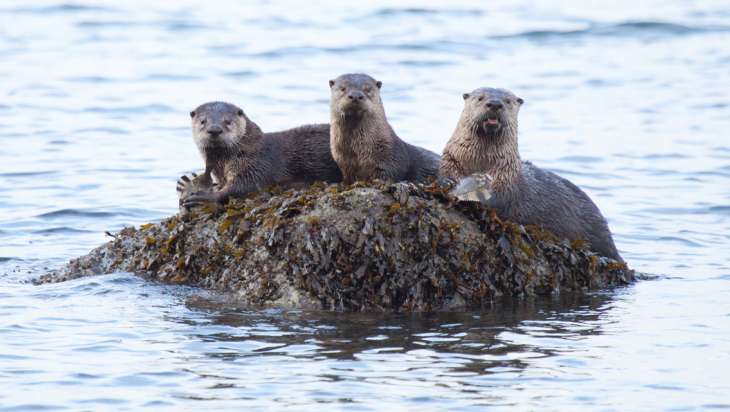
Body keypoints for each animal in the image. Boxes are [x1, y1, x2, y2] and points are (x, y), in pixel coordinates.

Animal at [179, 101, 342, 207]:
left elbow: (244, 185)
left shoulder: (255, 163)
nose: (214, 129)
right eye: (203, 121)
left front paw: (205, 197)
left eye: (228, 121)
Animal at [440, 88, 622, 261]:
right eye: (480, 98)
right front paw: (448, 185)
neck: (481, 162)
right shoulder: (451, 160)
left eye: (507, 101)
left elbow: (497, 200)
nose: (495, 104)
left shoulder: (505, 178)